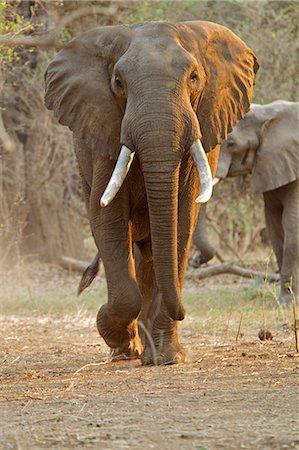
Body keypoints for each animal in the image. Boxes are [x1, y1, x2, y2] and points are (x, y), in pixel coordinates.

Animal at [44, 22, 258, 366]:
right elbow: (106, 215)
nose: (183, 311)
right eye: (118, 82)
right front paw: (116, 336)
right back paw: (127, 349)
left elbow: (182, 218)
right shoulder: (105, 129)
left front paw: (168, 357)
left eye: (194, 77)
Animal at [191, 100, 298, 308]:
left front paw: (286, 304)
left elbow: (291, 225)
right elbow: (274, 225)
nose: (195, 261)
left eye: (231, 143)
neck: (267, 115)